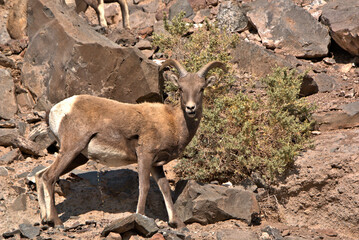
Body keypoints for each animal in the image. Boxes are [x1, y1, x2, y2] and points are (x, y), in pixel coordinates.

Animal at [35, 59, 226, 228]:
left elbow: (164, 188)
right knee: (49, 177)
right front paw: (140, 216)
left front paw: (177, 223)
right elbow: (144, 186)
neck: (173, 122)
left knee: (39, 175)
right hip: (71, 150)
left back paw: (45, 219)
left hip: (77, 157)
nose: (191, 108)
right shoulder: (145, 156)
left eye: (201, 88)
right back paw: (57, 222)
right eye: (181, 88)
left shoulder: (156, 164)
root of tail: (57, 110)